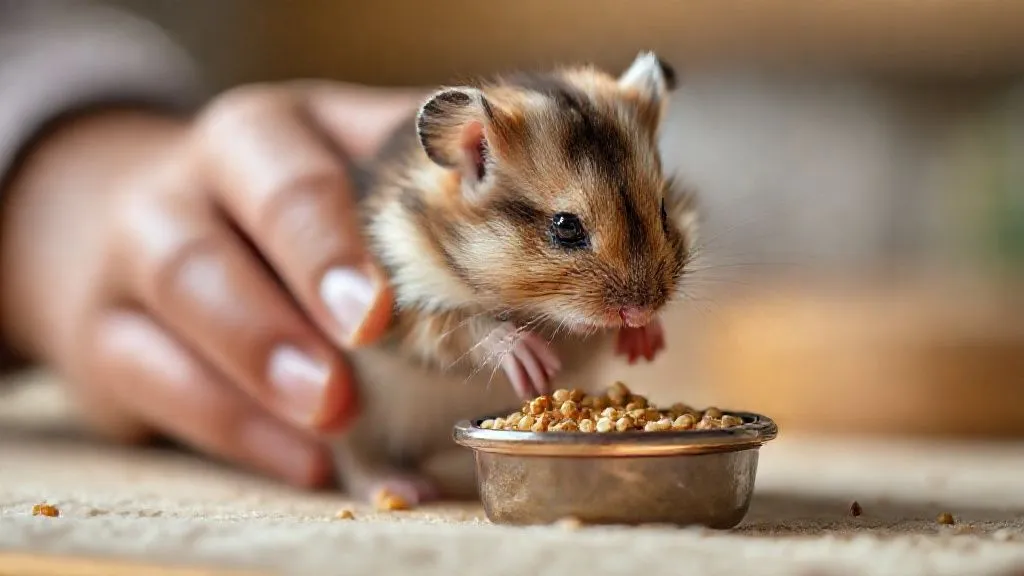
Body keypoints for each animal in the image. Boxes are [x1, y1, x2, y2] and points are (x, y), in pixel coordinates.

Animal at [332, 51, 700, 504]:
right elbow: (466, 328)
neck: (538, 310)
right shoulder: (402, 300)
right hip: (356, 412)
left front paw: (645, 344)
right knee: (355, 459)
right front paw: (535, 364)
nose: (639, 312)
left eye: (663, 211)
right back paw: (406, 489)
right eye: (565, 226)